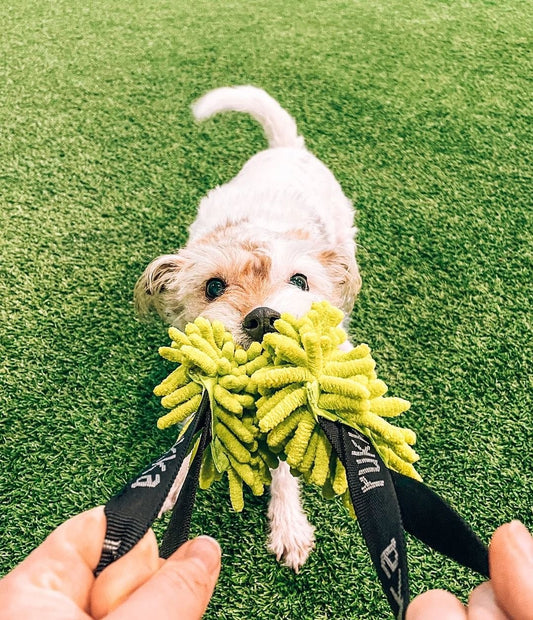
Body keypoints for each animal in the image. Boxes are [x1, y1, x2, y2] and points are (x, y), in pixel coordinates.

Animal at [135, 86, 362, 571]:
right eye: (213, 287)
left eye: (300, 281)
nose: (262, 318)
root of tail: (285, 148)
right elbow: (190, 435)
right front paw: (168, 484)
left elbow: (285, 464)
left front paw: (289, 525)